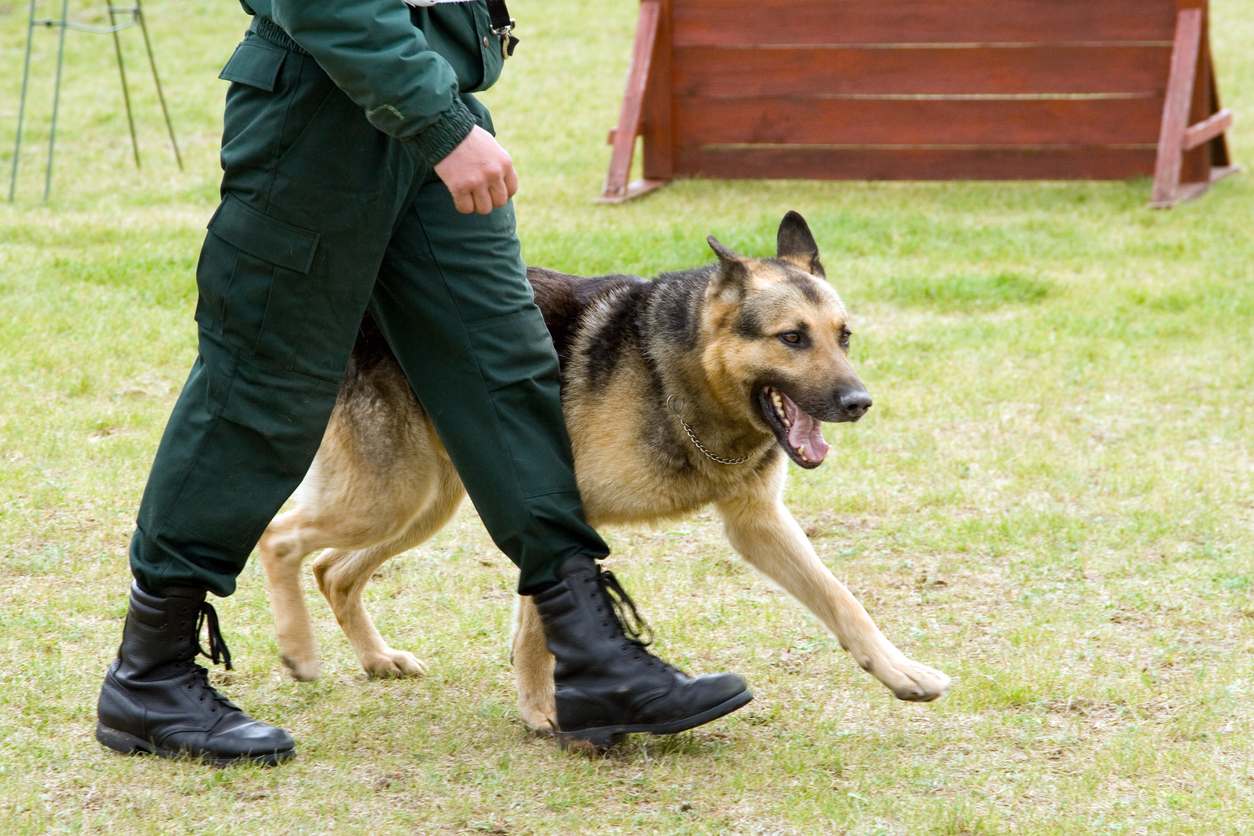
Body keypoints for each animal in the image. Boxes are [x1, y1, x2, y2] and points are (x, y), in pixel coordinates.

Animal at [262, 213, 948, 736]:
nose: (859, 402)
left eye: (844, 337)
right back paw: (298, 651)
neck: (680, 375)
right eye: (793, 338)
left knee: (333, 571)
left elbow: (841, 599)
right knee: (280, 540)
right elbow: (539, 624)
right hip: (391, 496)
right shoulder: (561, 514)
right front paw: (541, 710)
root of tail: (362, 313)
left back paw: (377, 658)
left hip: (424, 503)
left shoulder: (757, 524)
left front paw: (902, 673)